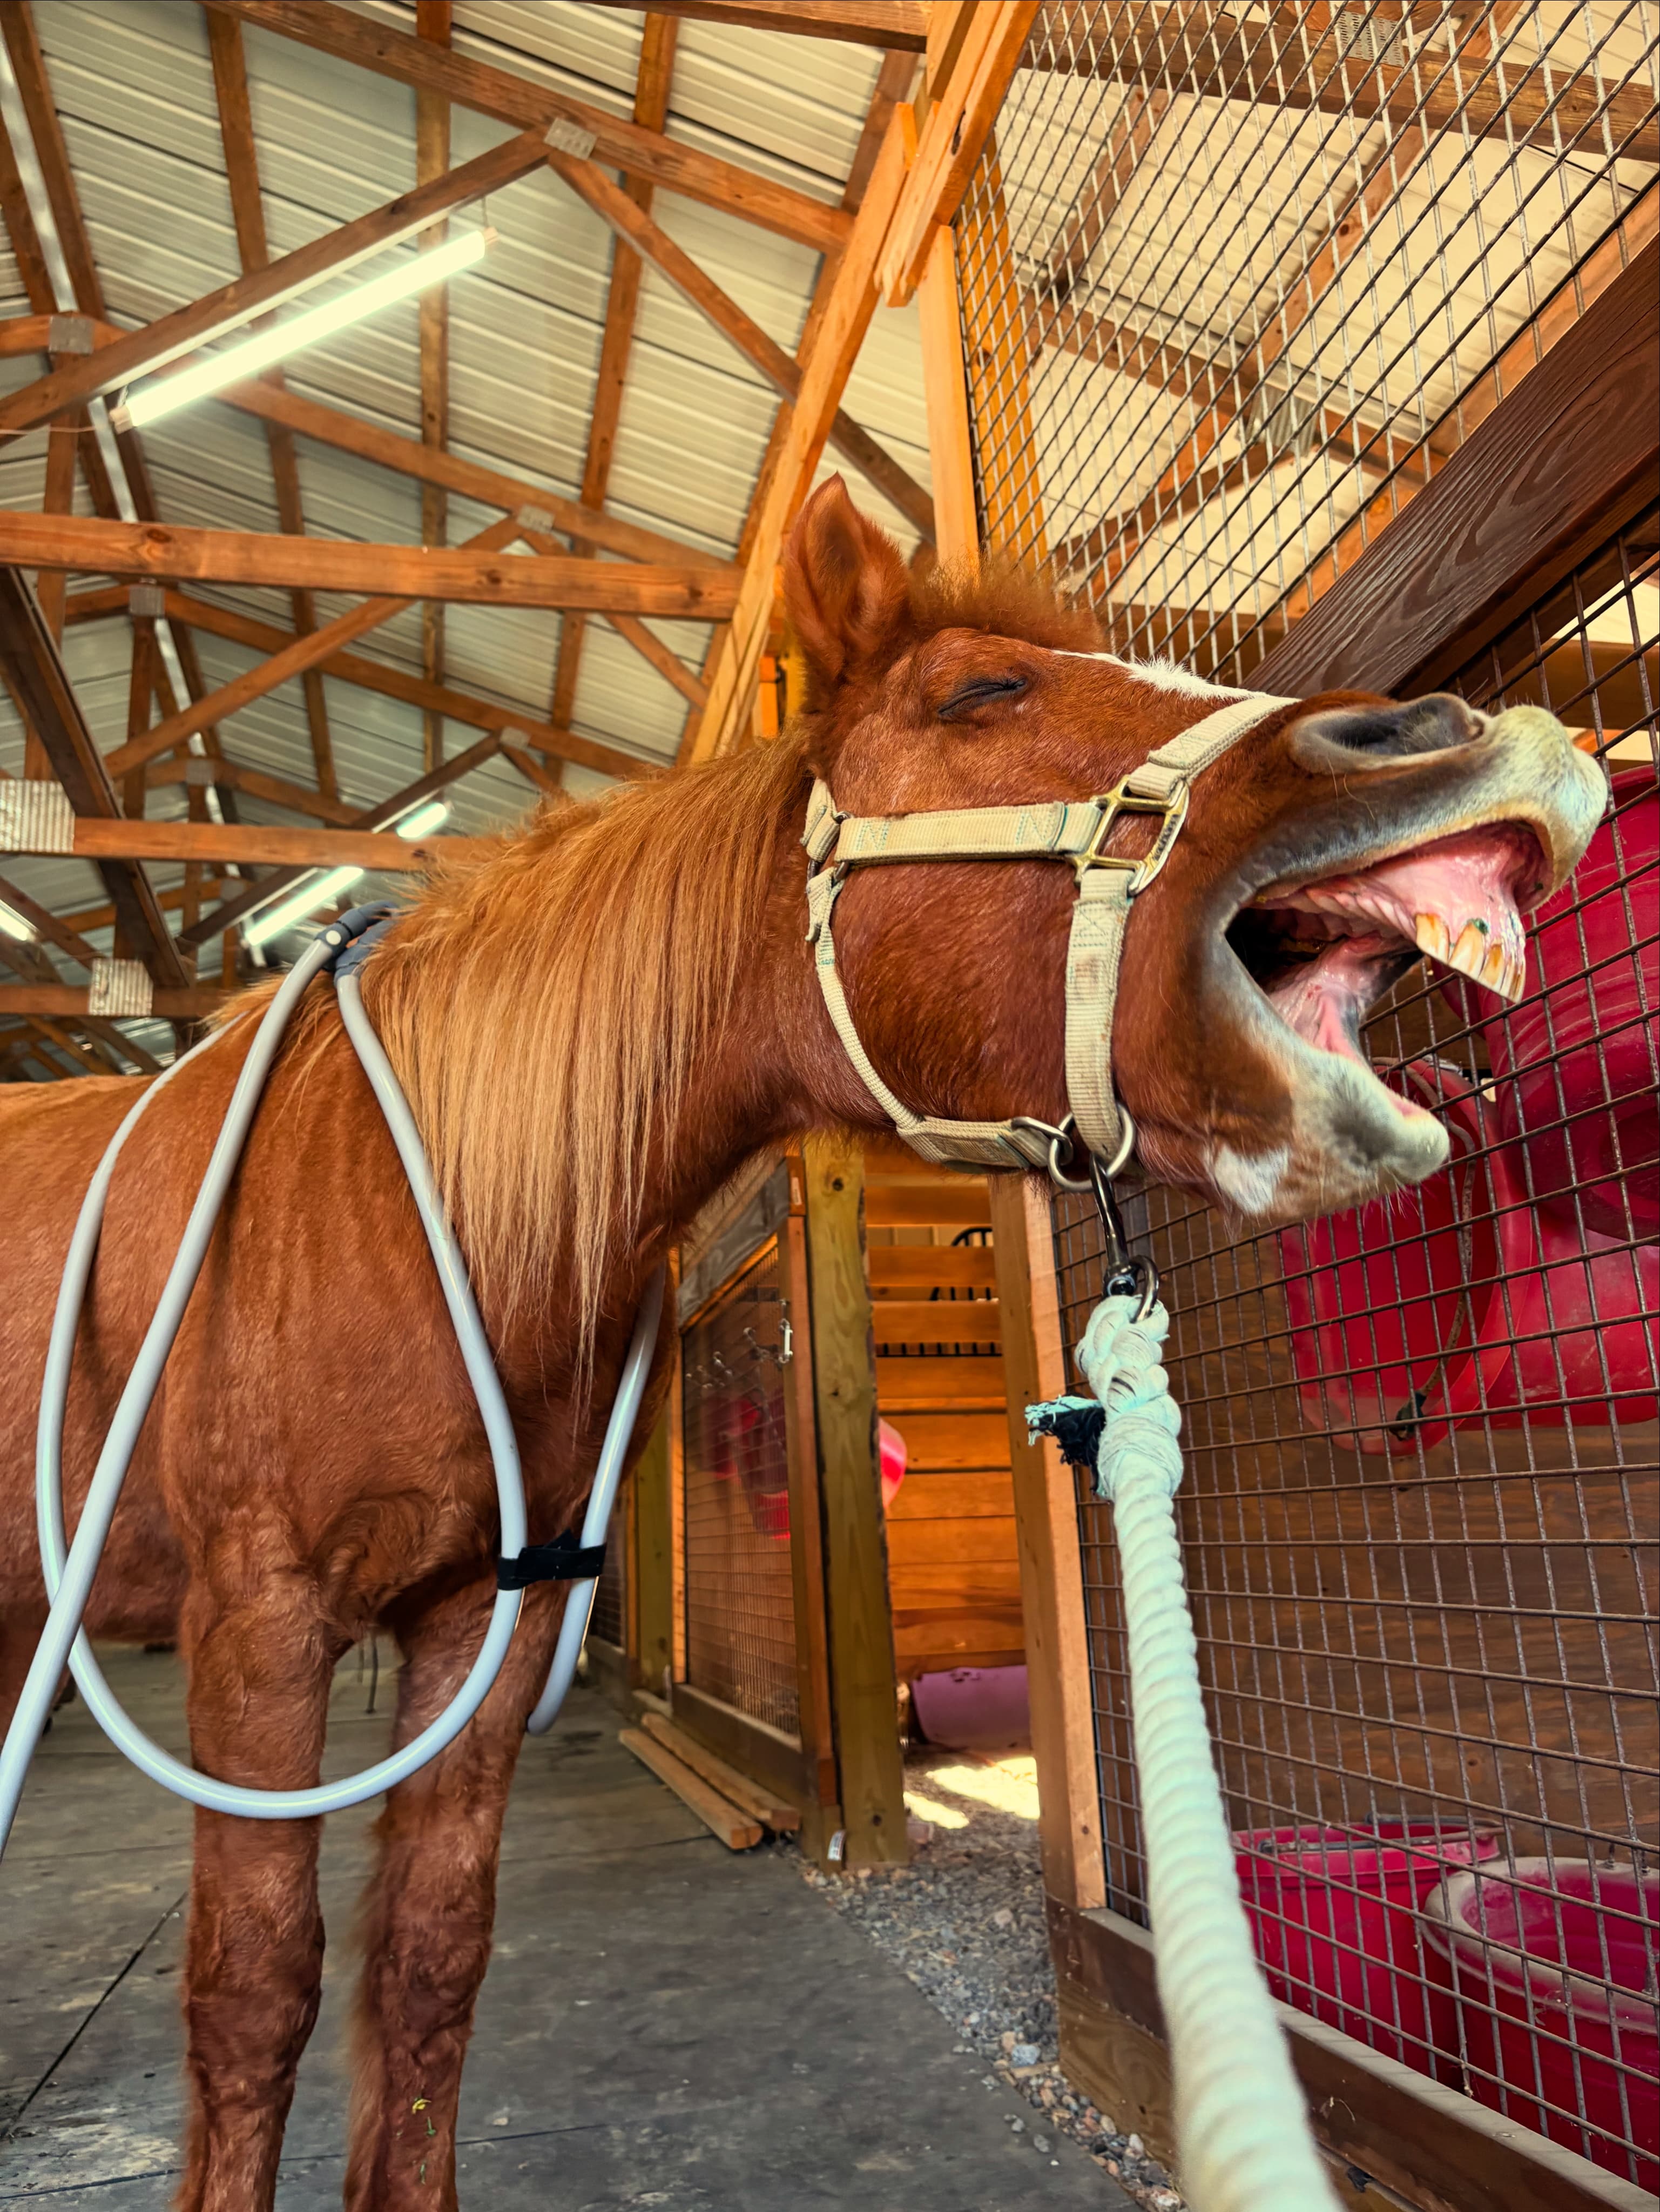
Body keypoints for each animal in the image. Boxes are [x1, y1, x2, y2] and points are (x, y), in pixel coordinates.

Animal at [0, 476, 1604, 2209]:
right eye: (978, 692)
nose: (1442, 734)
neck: (394, 1196)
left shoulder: (477, 1627)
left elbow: (428, 1967)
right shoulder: (260, 1624)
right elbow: (254, 1990)